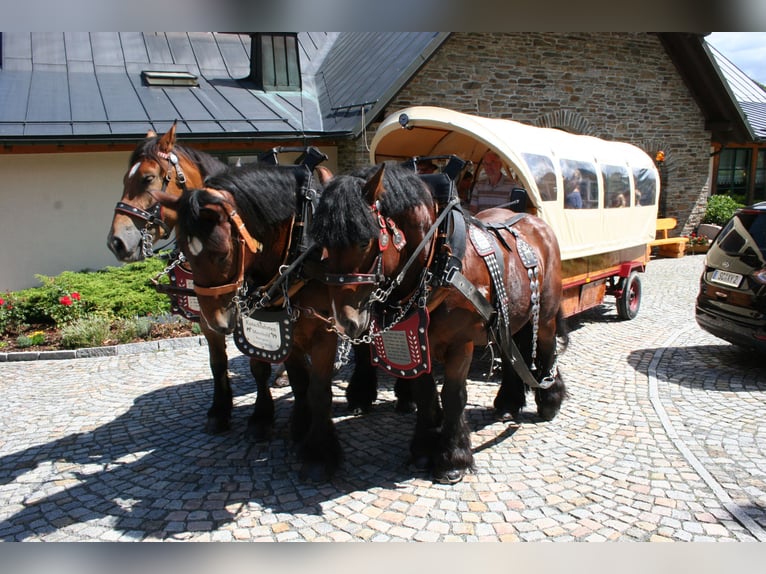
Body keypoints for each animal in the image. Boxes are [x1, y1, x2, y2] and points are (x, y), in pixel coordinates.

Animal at [312, 165, 568, 486]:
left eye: (363, 241)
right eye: (322, 244)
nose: (346, 320)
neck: (437, 262)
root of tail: (534, 221)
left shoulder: (460, 342)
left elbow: (453, 396)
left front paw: (452, 459)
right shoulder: (419, 345)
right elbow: (425, 396)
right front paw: (423, 449)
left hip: (545, 314)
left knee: (546, 347)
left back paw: (550, 399)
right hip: (505, 317)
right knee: (511, 352)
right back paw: (509, 403)